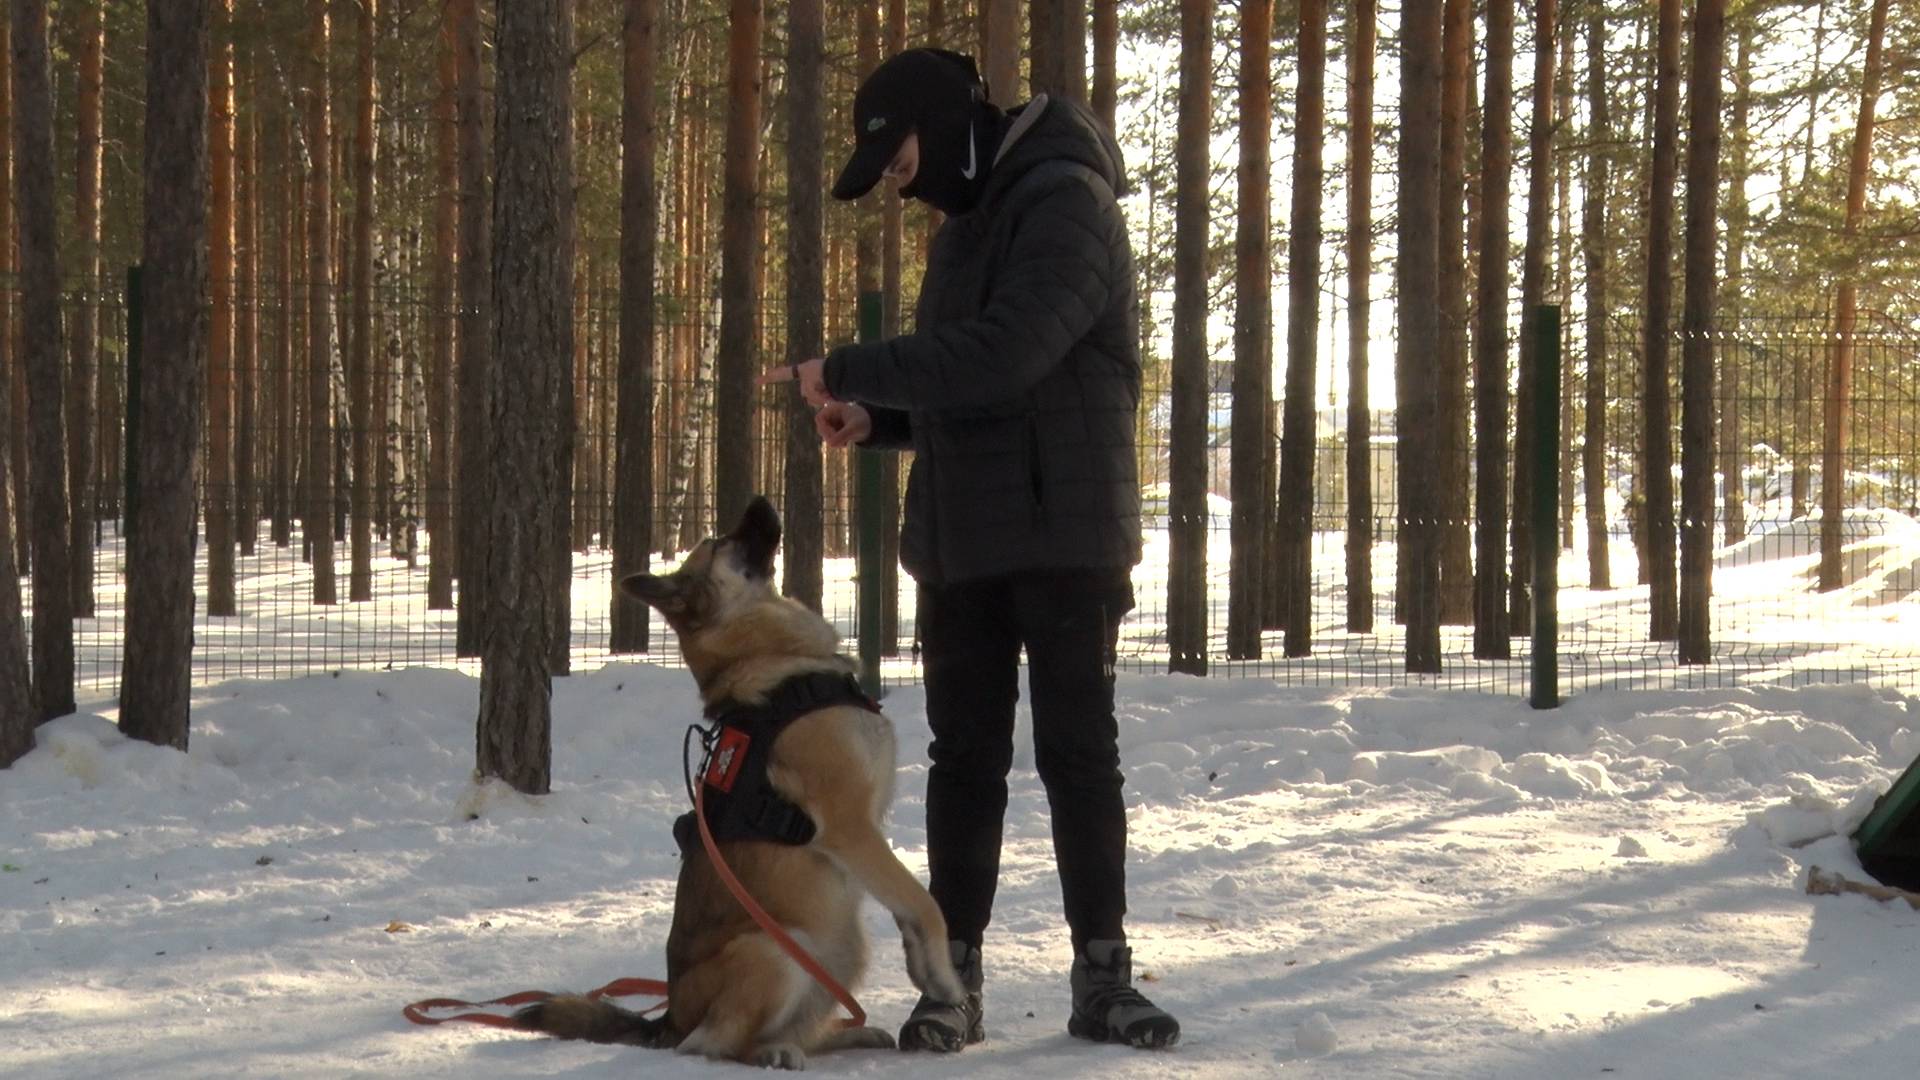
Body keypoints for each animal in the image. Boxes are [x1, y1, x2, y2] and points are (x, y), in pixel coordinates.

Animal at [514, 495, 967, 1068]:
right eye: (720, 542)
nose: (761, 501)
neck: (778, 665)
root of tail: (669, 1019)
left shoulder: (865, 840)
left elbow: (910, 907)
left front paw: (923, 969)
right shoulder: (850, 829)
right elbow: (925, 903)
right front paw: (947, 981)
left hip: (840, 949)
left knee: (800, 1026)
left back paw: (845, 1035)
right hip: (777, 948)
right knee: (715, 1044)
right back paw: (773, 1052)